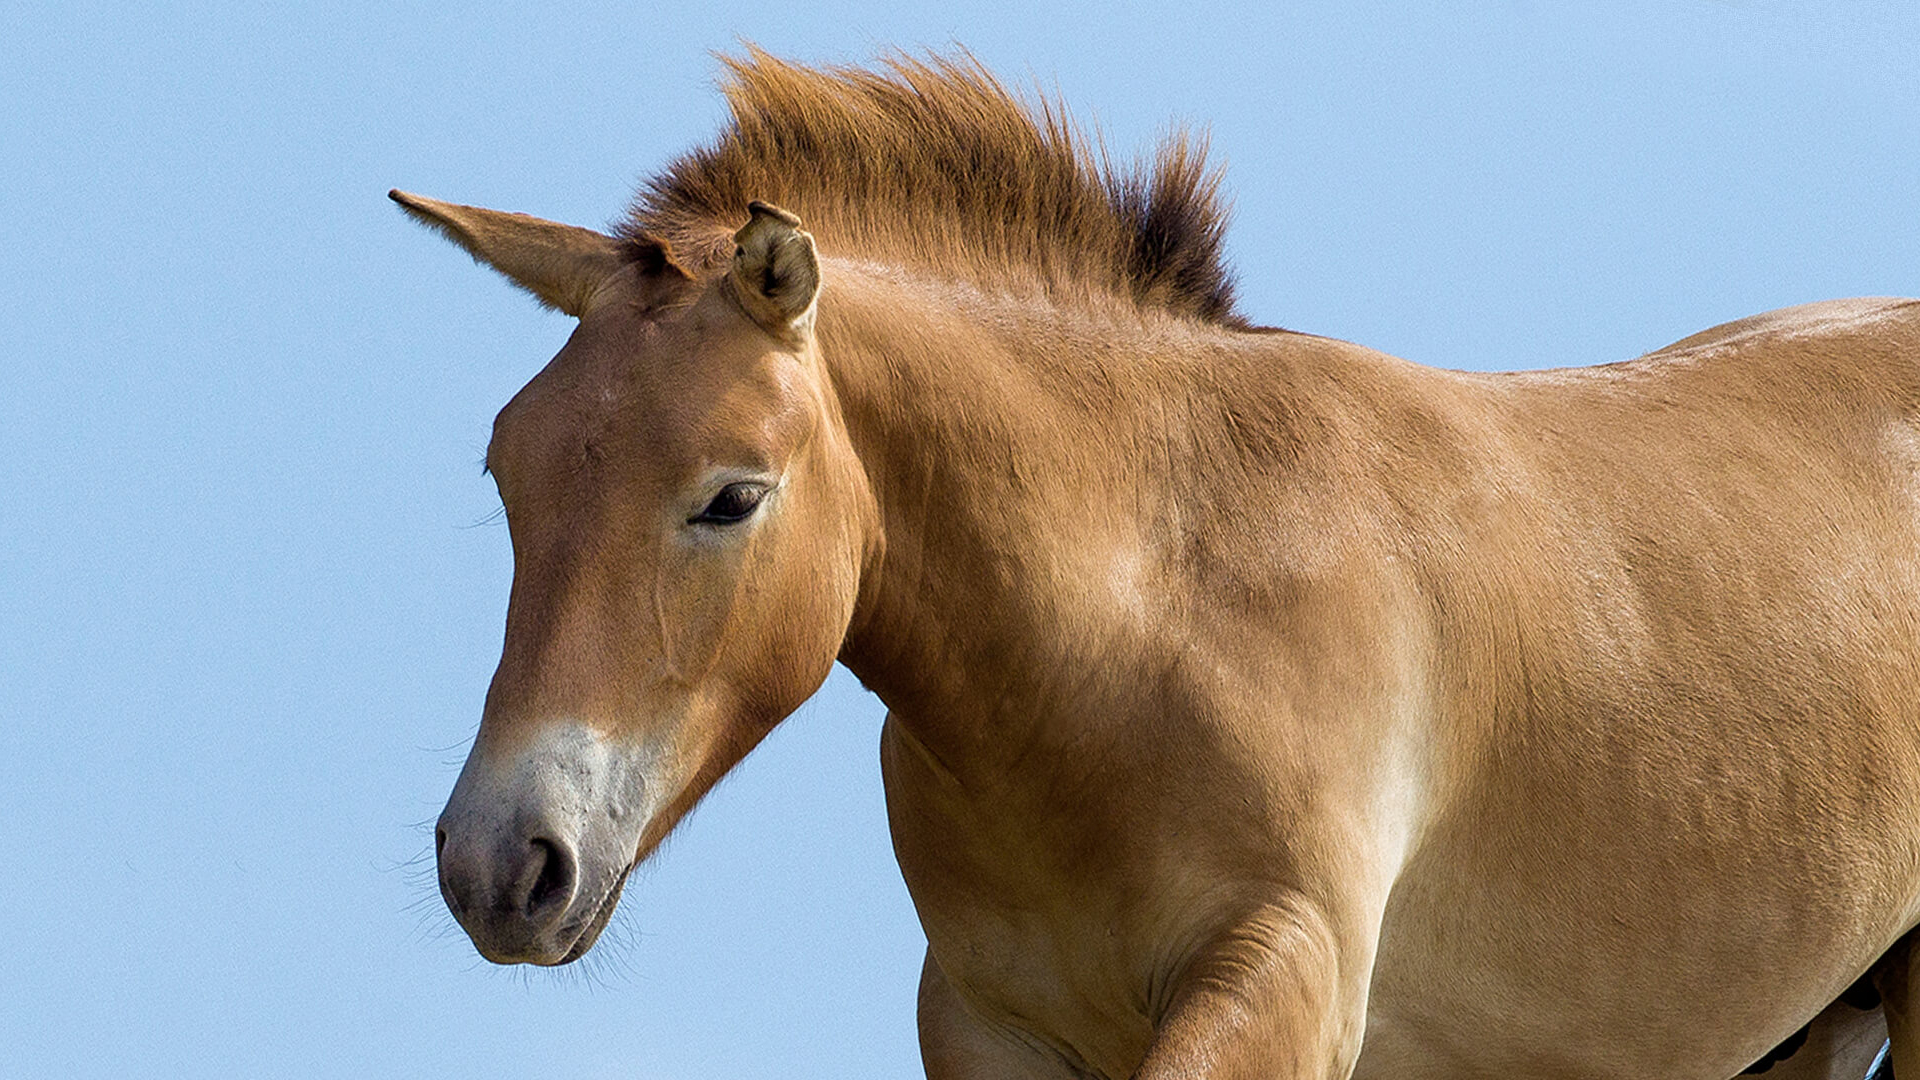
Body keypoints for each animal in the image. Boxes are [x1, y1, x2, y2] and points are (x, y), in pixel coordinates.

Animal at [397, 50, 1920, 1076]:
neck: (1145, 624)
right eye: (506, 474)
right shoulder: (988, 1026)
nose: (498, 865)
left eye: (731, 498)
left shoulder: (1284, 978)